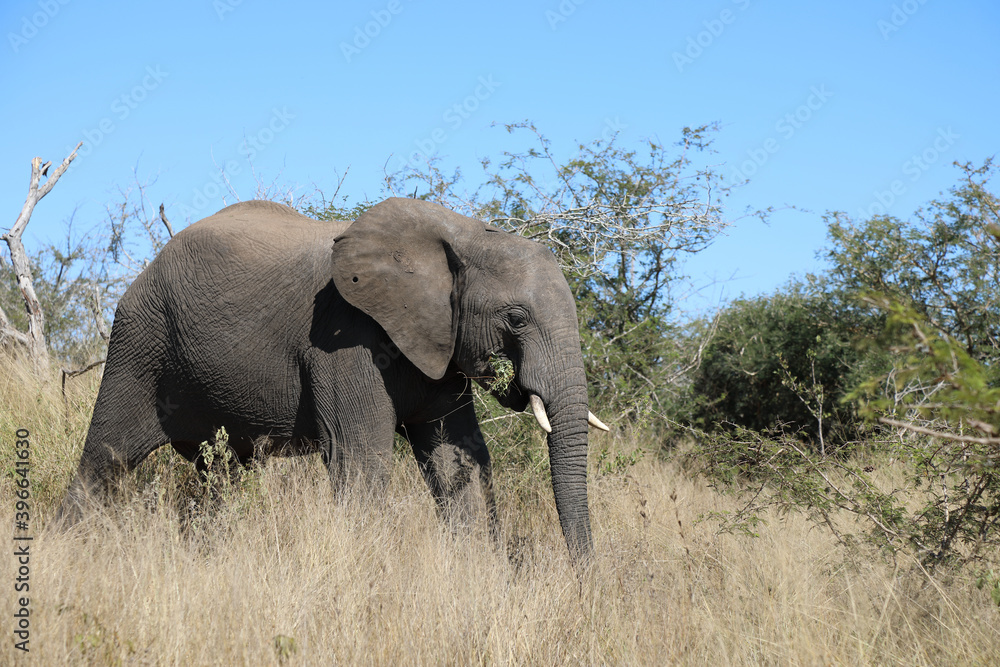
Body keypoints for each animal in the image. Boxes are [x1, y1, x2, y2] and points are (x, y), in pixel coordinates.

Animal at [58, 197, 604, 564]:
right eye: (516, 318)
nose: (584, 583)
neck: (461, 235)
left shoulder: (440, 344)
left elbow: (454, 456)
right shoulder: (346, 337)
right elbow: (358, 456)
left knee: (220, 479)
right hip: (140, 342)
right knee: (105, 458)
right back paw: (68, 552)